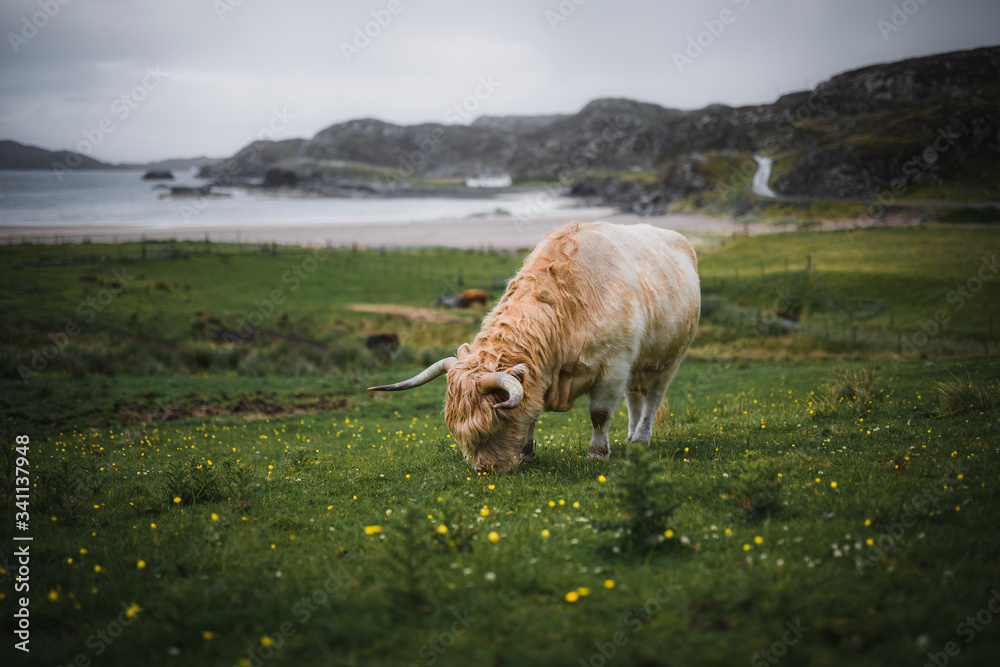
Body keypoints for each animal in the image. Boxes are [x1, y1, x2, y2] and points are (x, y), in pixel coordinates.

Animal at [364, 222, 700, 472]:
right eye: (459, 432)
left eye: (493, 424)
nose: (486, 470)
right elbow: (532, 411)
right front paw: (526, 453)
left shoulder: (614, 366)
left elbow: (600, 413)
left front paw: (596, 453)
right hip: (639, 366)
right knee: (634, 399)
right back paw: (631, 438)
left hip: (669, 359)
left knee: (652, 399)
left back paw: (641, 438)